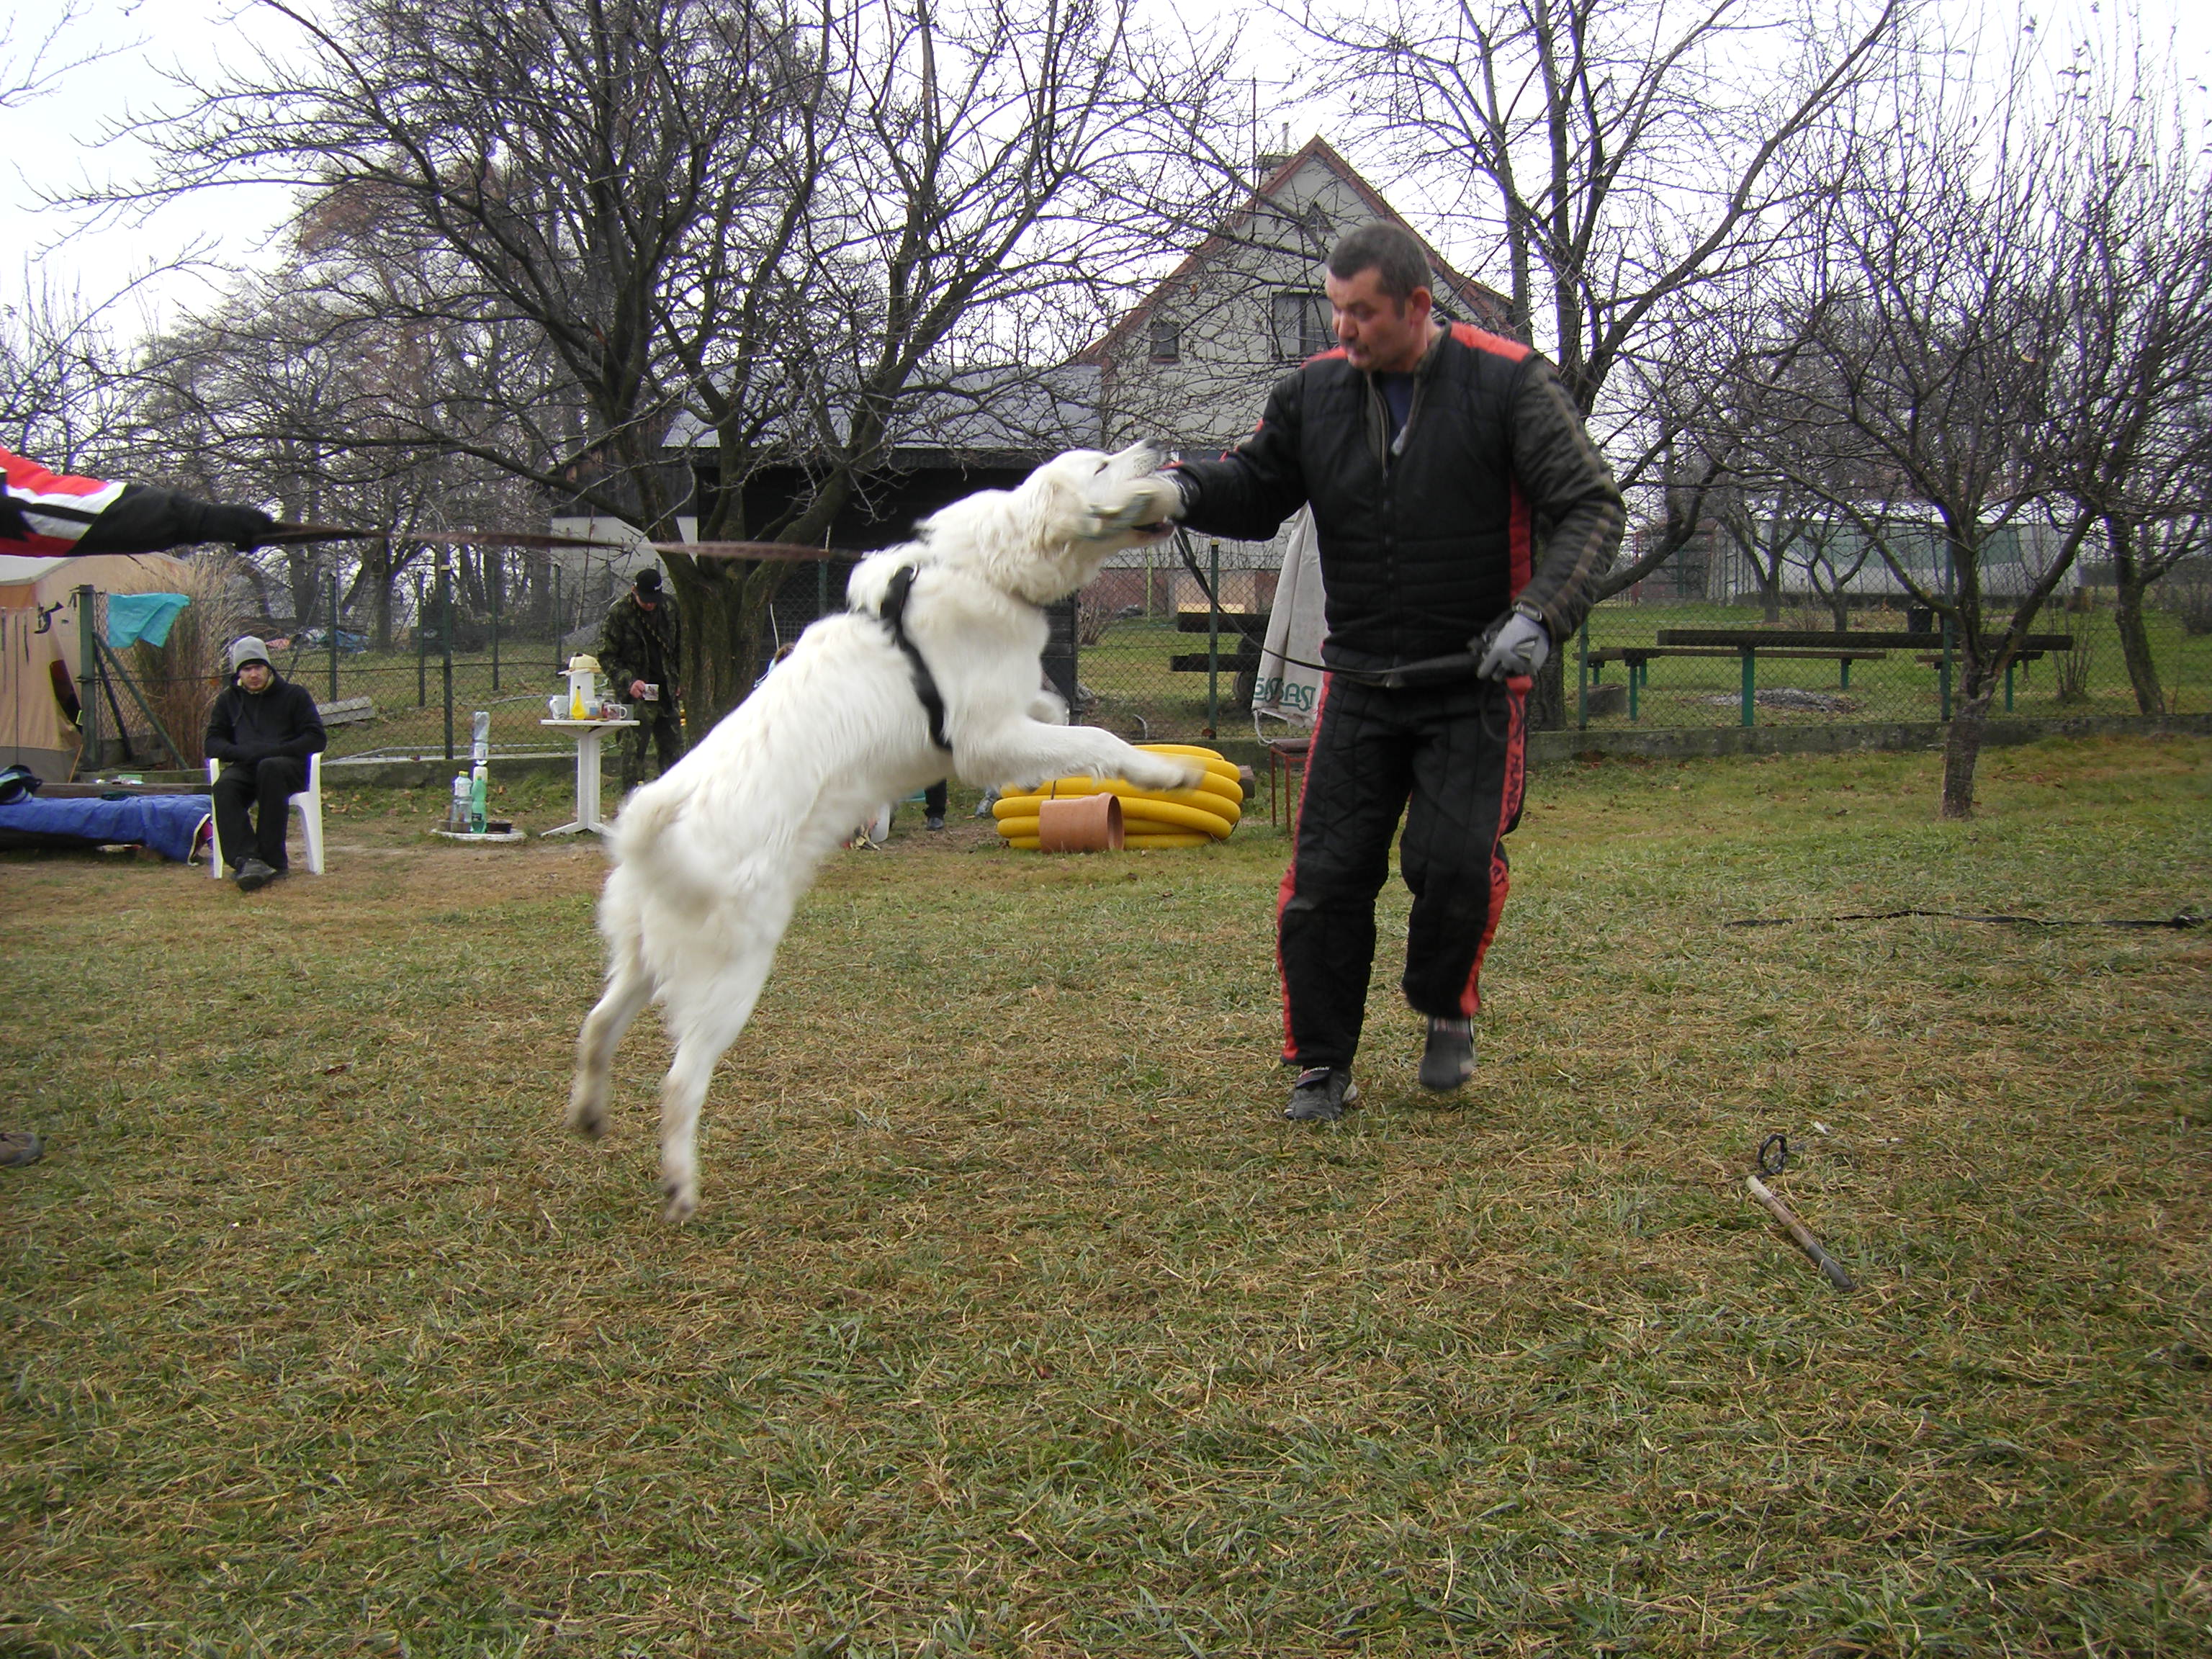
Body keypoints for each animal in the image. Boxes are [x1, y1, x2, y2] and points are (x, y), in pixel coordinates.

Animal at [562, 442, 1203, 1220]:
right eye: (1105, 465)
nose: (1158, 453)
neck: (987, 567)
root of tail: (653, 847)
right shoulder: (983, 738)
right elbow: (1101, 739)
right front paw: (1166, 773)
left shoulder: (1005, 721)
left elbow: (1055, 710)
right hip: (731, 980)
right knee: (680, 1080)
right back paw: (681, 1184)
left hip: (641, 957)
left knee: (596, 1025)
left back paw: (589, 1114)